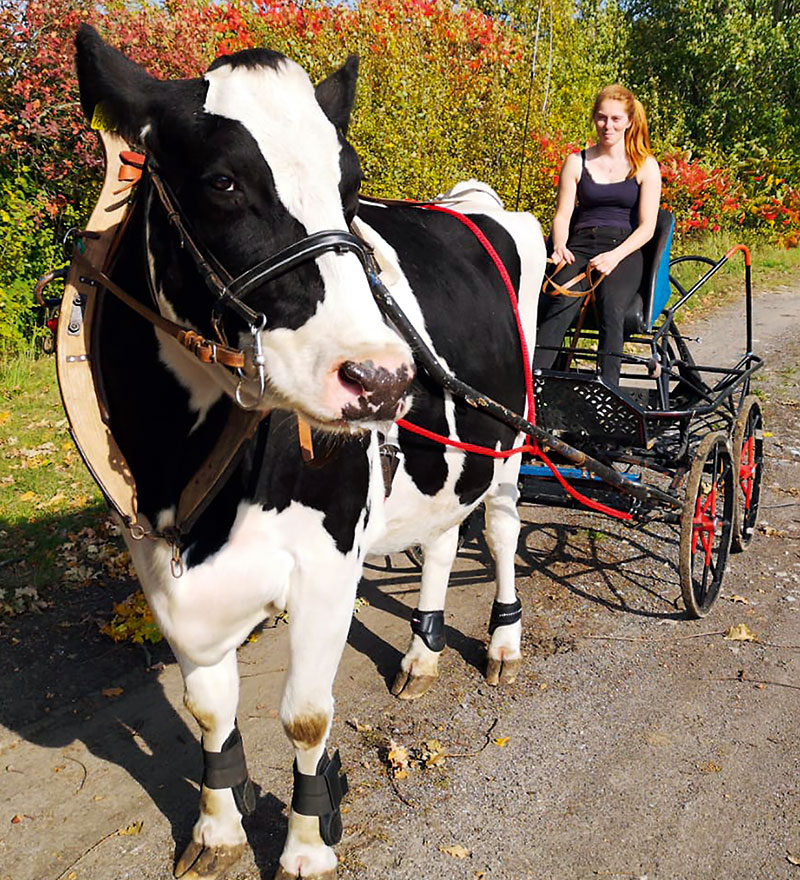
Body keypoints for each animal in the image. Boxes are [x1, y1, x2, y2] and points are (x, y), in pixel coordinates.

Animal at [73, 24, 544, 880]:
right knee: (440, 538)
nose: (384, 378)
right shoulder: (151, 553)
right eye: (223, 181)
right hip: (444, 458)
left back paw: (501, 641)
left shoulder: (328, 559)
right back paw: (423, 654)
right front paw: (218, 830)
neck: (186, 471)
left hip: (512, 436)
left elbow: (305, 718)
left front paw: (306, 843)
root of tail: (476, 204)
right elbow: (207, 710)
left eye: (351, 187)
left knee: (498, 531)